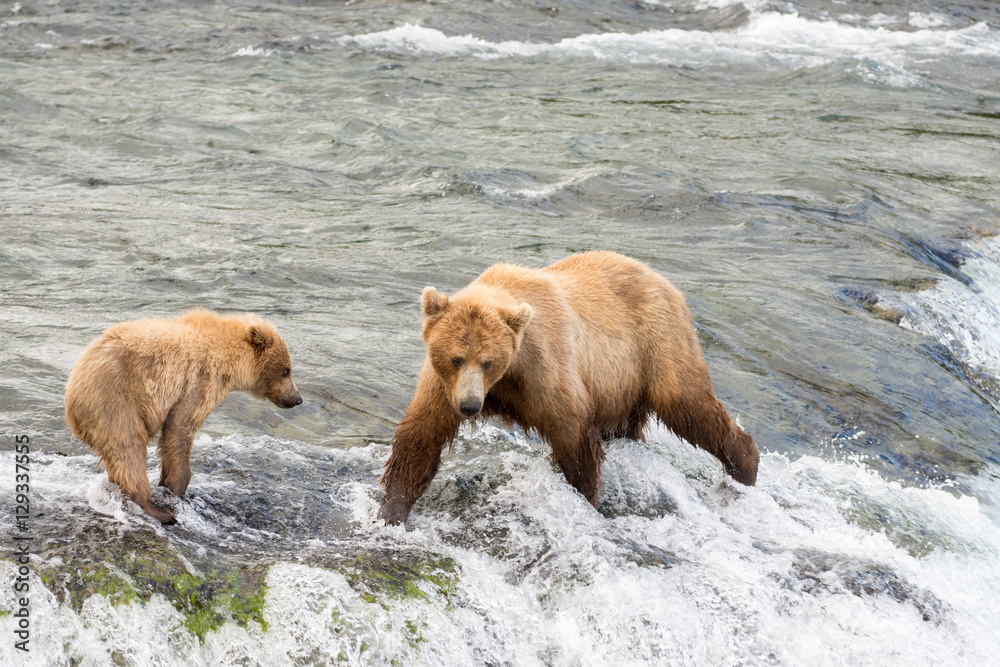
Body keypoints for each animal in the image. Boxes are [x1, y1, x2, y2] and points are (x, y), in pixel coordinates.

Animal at [65, 308, 302, 524]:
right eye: (286, 370)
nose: (297, 399)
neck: (229, 359)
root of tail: (72, 393)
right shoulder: (200, 381)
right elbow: (180, 427)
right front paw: (177, 489)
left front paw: (166, 482)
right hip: (115, 402)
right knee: (128, 448)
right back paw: (157, 509)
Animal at [378, 251, 759, 525]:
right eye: (456, 358)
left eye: (488, 361)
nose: (471, 406)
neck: (505, 379)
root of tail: (661, 278)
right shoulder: (444, 385)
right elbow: (421, 437)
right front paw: (392, 511)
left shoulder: (544, 368)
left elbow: (572, 434)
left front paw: (585, 497)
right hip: (622, 386)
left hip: (657, 343)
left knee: (687, 403)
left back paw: (746, 464)